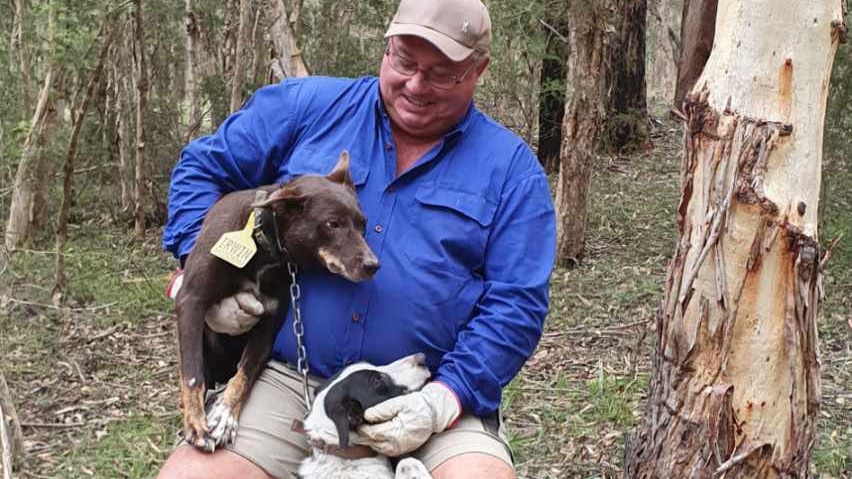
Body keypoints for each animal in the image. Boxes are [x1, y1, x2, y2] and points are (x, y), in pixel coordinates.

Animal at [175, 152, 378, 452]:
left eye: (363, 224)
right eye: (332, 224)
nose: (373, 265)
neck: (263, 246)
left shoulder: (269, 322)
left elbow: (245, 373)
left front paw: (225, 415)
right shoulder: (191, 301)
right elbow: (192, 374)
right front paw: (196, 421)